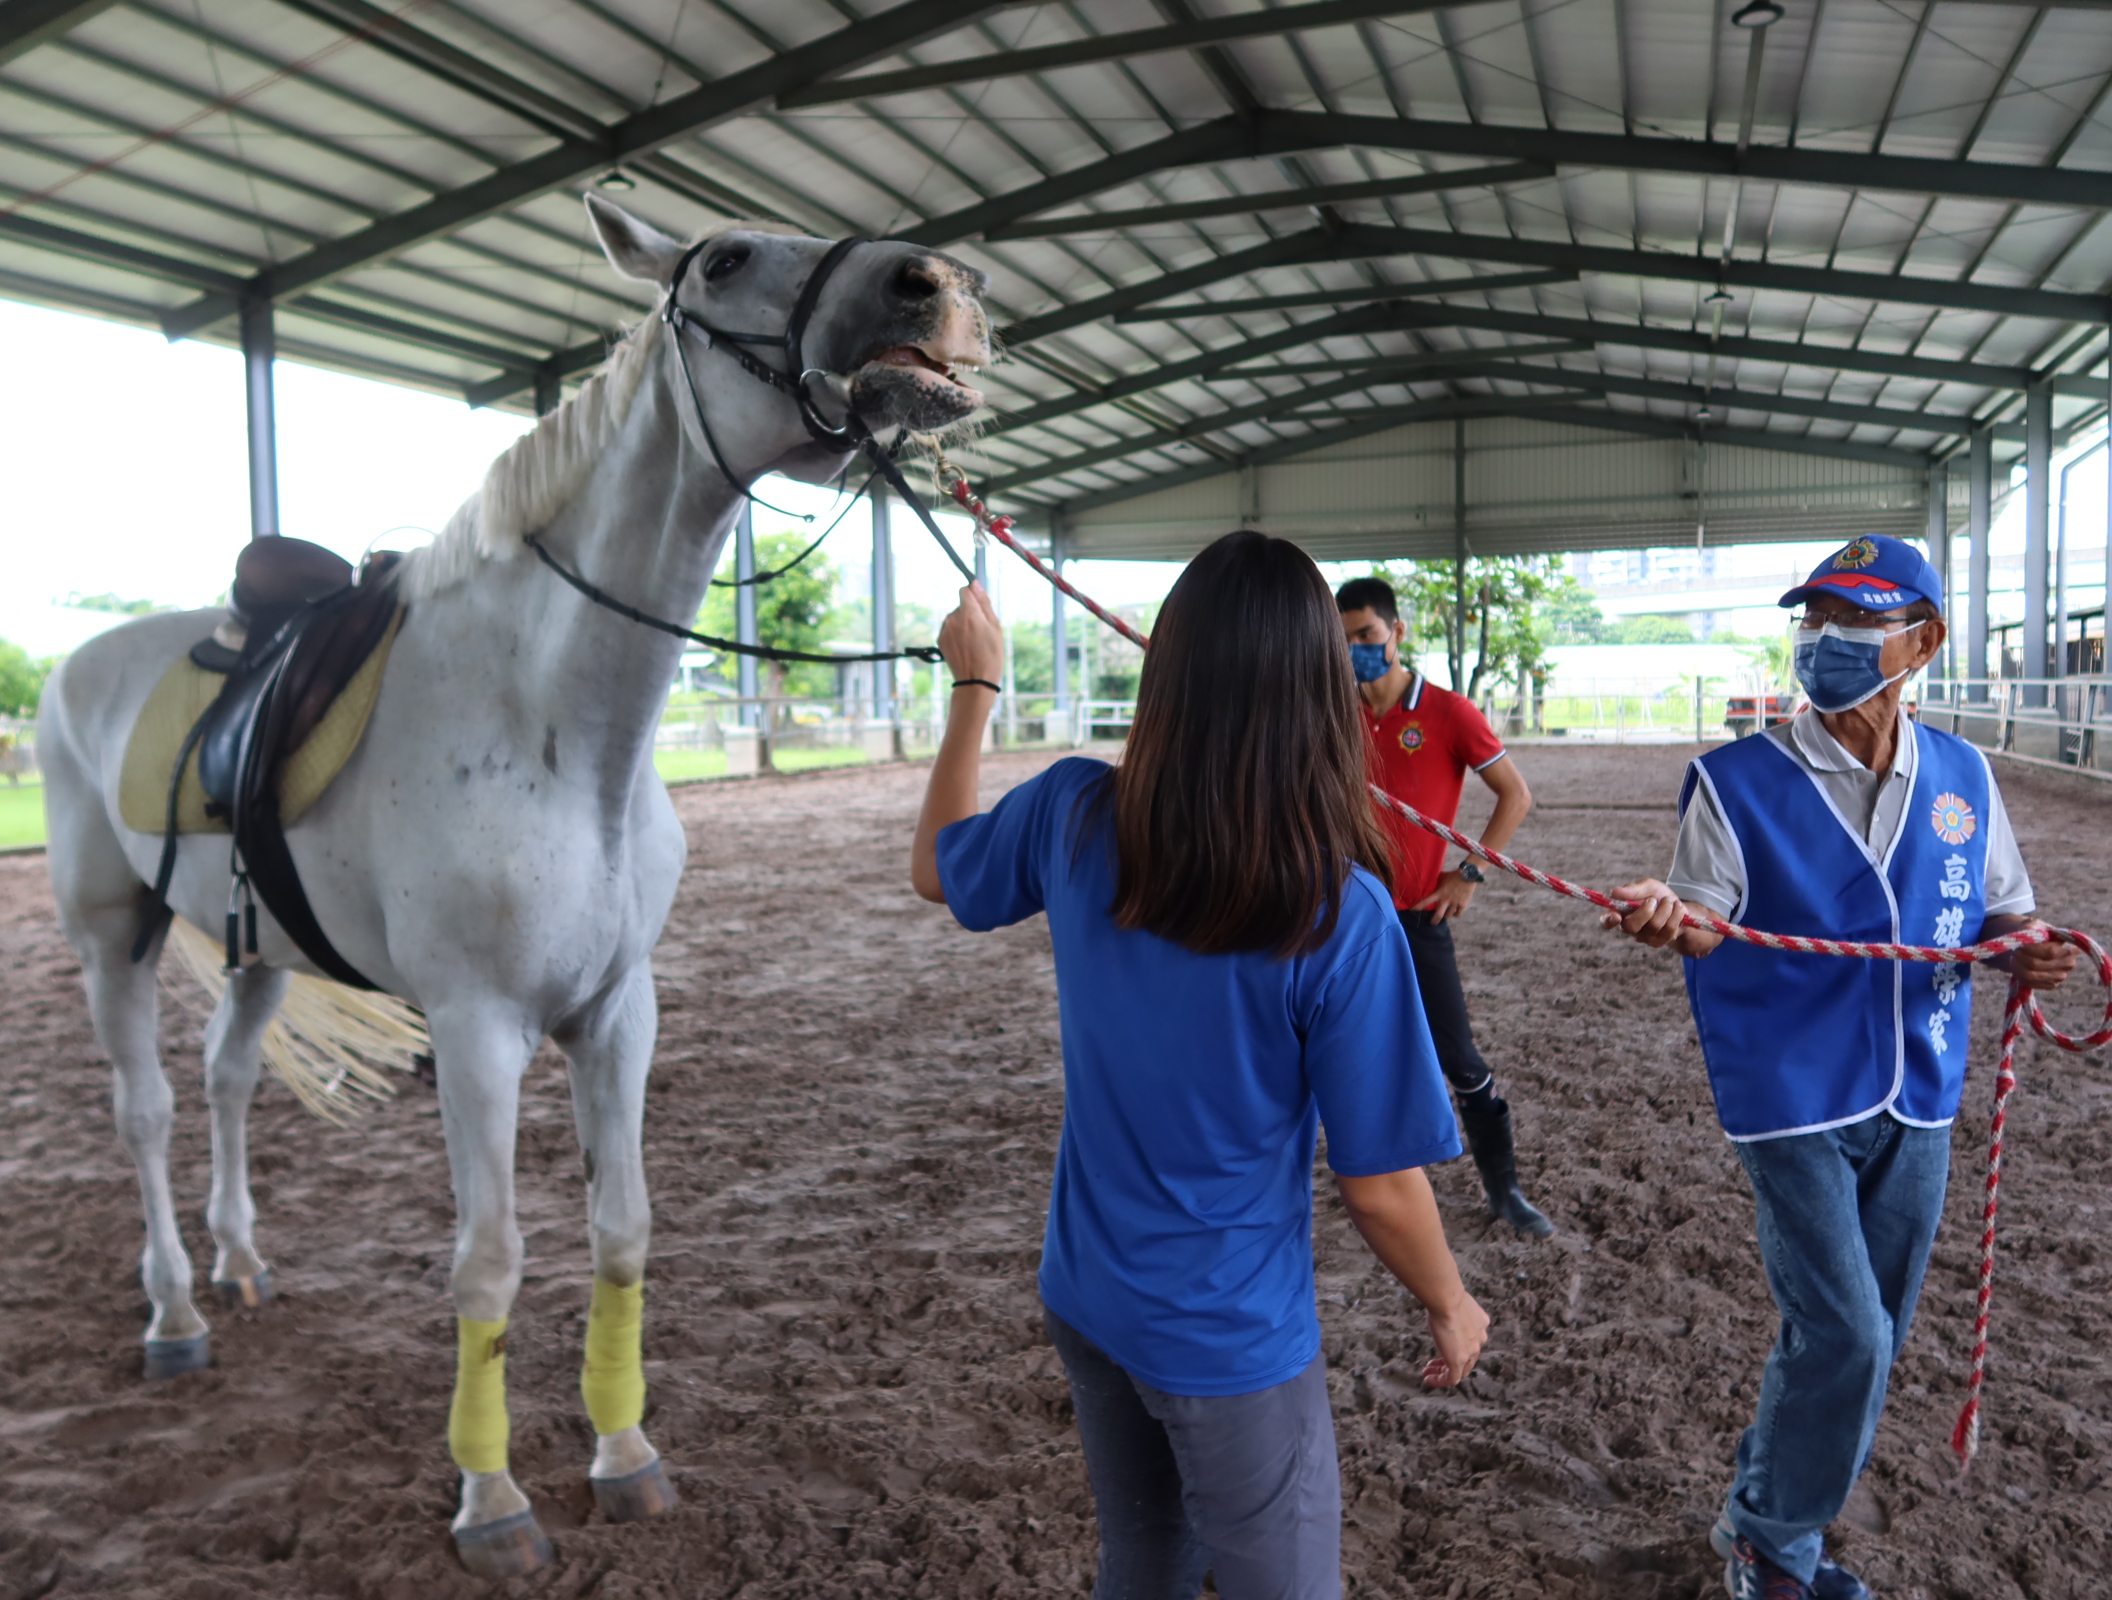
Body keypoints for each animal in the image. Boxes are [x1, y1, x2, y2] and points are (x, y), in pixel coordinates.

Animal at [33, 197, 988, 1578]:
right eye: (723, 260)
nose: (940, 287)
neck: (551, 720)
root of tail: (80, 665)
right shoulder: (478, 1029)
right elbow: (487, 1263)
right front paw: (492, 1501)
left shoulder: (618, 1014)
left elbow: (622, 1229)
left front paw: (625, 1453)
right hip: (114, 936)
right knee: (146, 1111)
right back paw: (172, 1316)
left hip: (258, 949)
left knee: (221, 1083)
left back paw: (241, 1262)